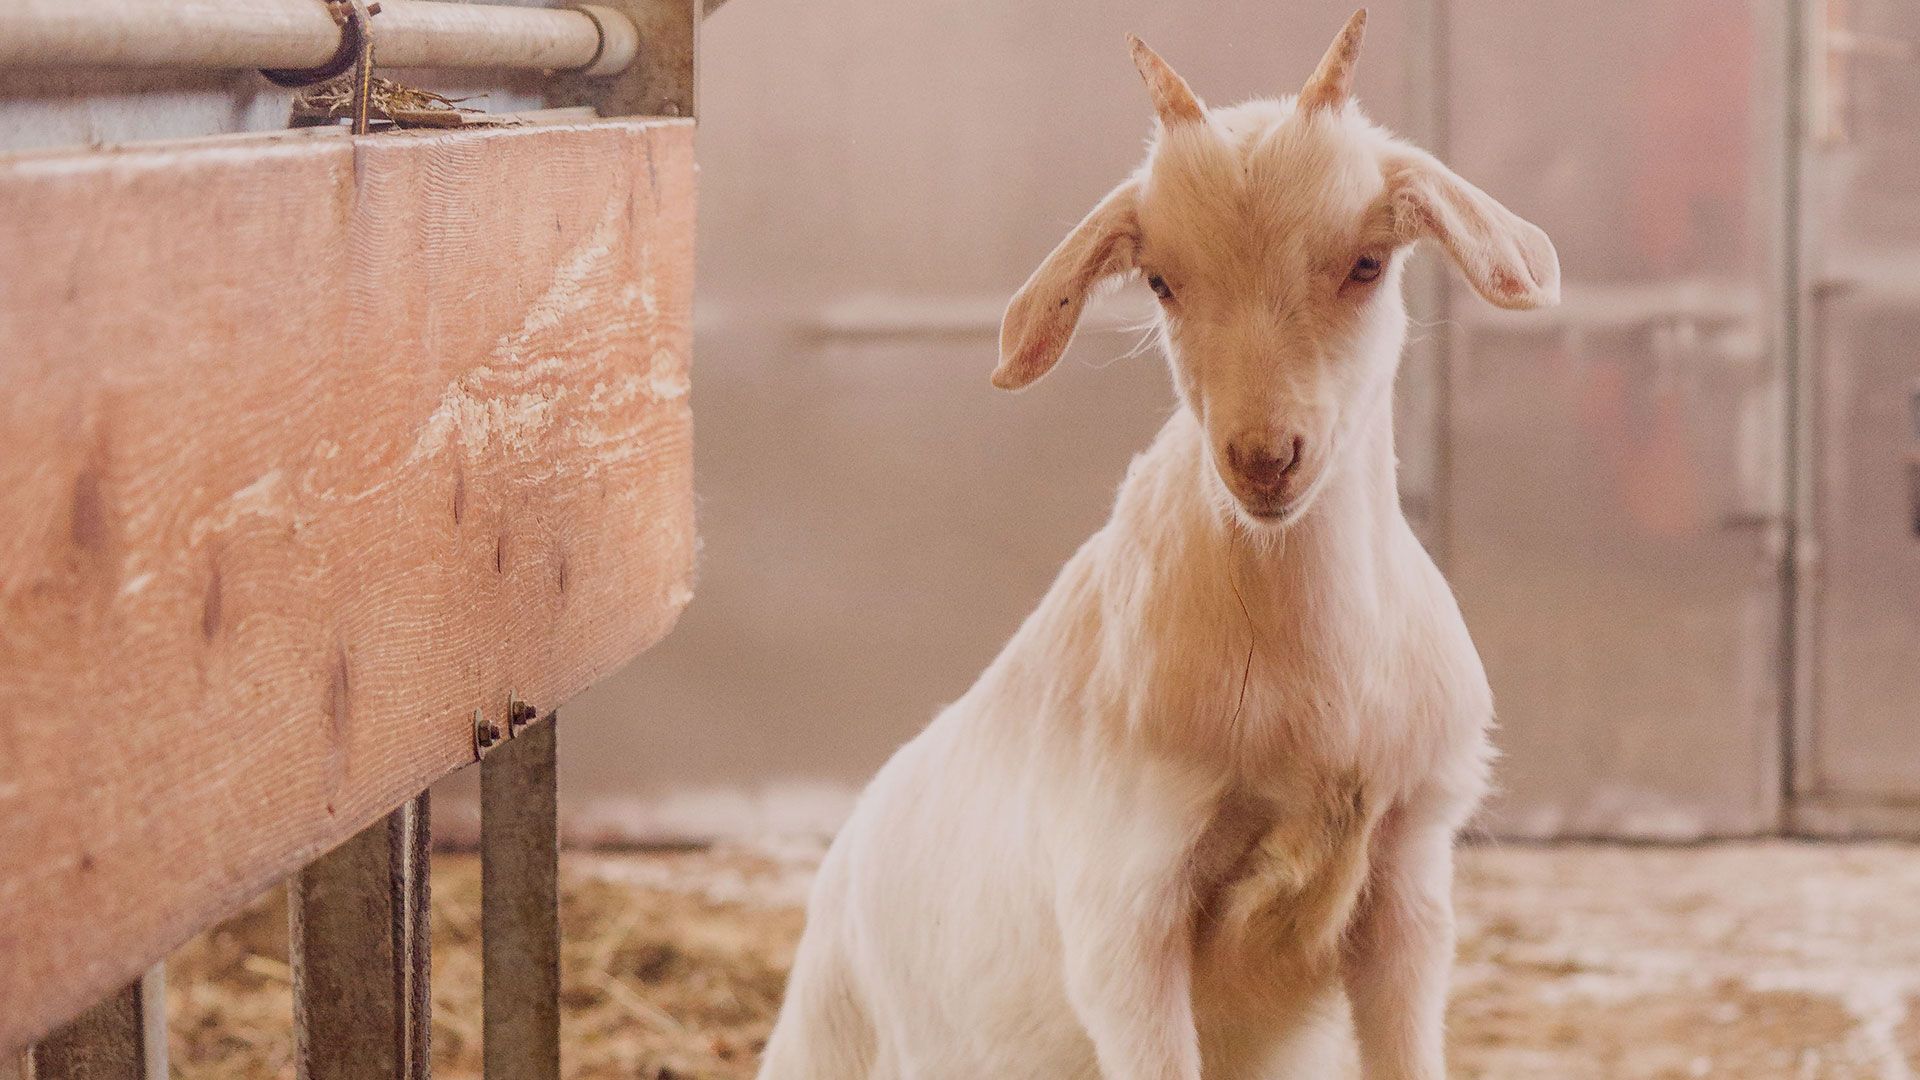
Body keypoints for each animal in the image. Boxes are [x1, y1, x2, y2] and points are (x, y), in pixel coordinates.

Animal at [758, 11, 1560, 1079]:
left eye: (1367, 263)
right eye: (1161, 280)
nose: (1262, 459)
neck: (1313, 705)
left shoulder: (1408, 882)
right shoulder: (1123, 919)